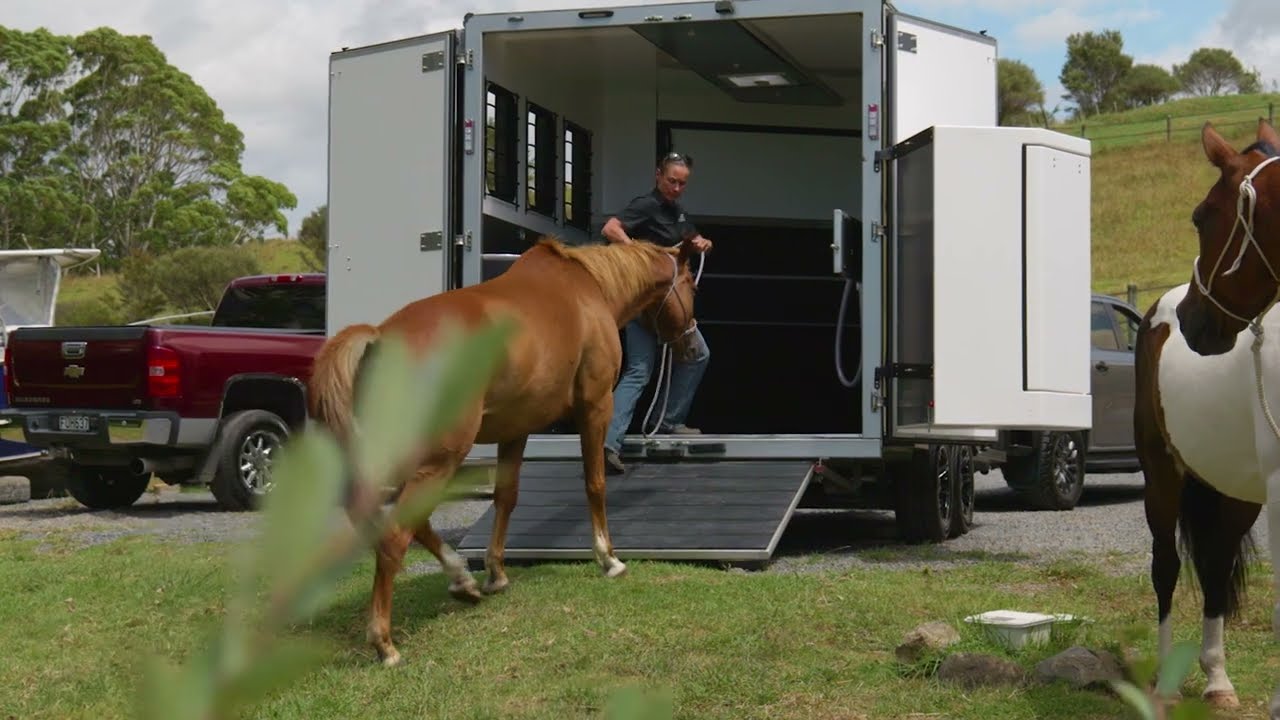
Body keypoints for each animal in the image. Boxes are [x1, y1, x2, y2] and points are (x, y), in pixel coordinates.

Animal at [307, 235, 700, 666]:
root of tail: (379, 339)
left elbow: (505, 497)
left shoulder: (517, 428)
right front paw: (608, 559)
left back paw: (462, 581)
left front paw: (496, 574)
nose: (693, 347)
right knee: (394, 536)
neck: (588, 289)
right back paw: (385, 642)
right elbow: (594, 483)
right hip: (439, 459)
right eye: (691, 286)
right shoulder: (596, 407)